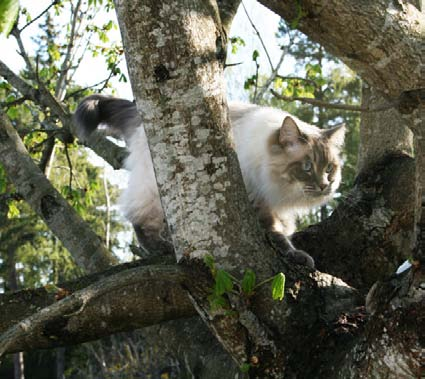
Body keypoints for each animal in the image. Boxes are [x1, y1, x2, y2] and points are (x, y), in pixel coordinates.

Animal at [73, 94, 344, 268]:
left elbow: (284, 228)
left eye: (329, 168)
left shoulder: (273, 203)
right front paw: (296, 256)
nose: (325, 186)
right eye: (307, 167)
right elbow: (277, 234)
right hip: (154, 188)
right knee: (139, 219)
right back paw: (162, 248)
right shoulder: (256, 198)